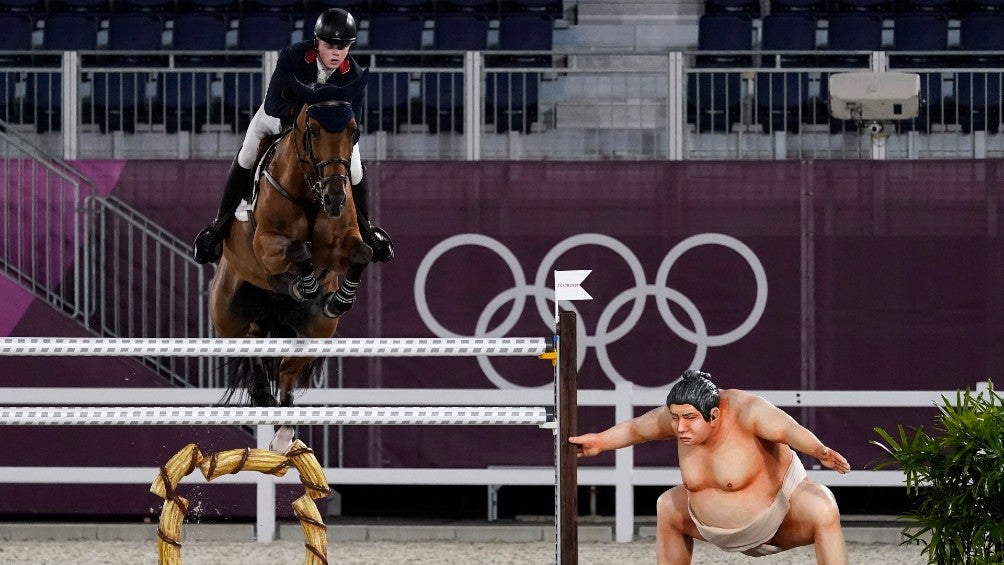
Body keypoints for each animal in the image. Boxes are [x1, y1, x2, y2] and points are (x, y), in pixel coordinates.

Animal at [209, 76, 375, 455]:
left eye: (354, 131)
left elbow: (361, 253)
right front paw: (304, 285)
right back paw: (262, 397)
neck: (311, 195)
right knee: (251, 347)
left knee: (286, 369)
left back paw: (284, 431)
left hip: (316, 331)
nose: (335, 199)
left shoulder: (340, 248)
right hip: (228, 317)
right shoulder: (265, 244)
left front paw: (338, 298)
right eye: (312, 131)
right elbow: (298, 252)